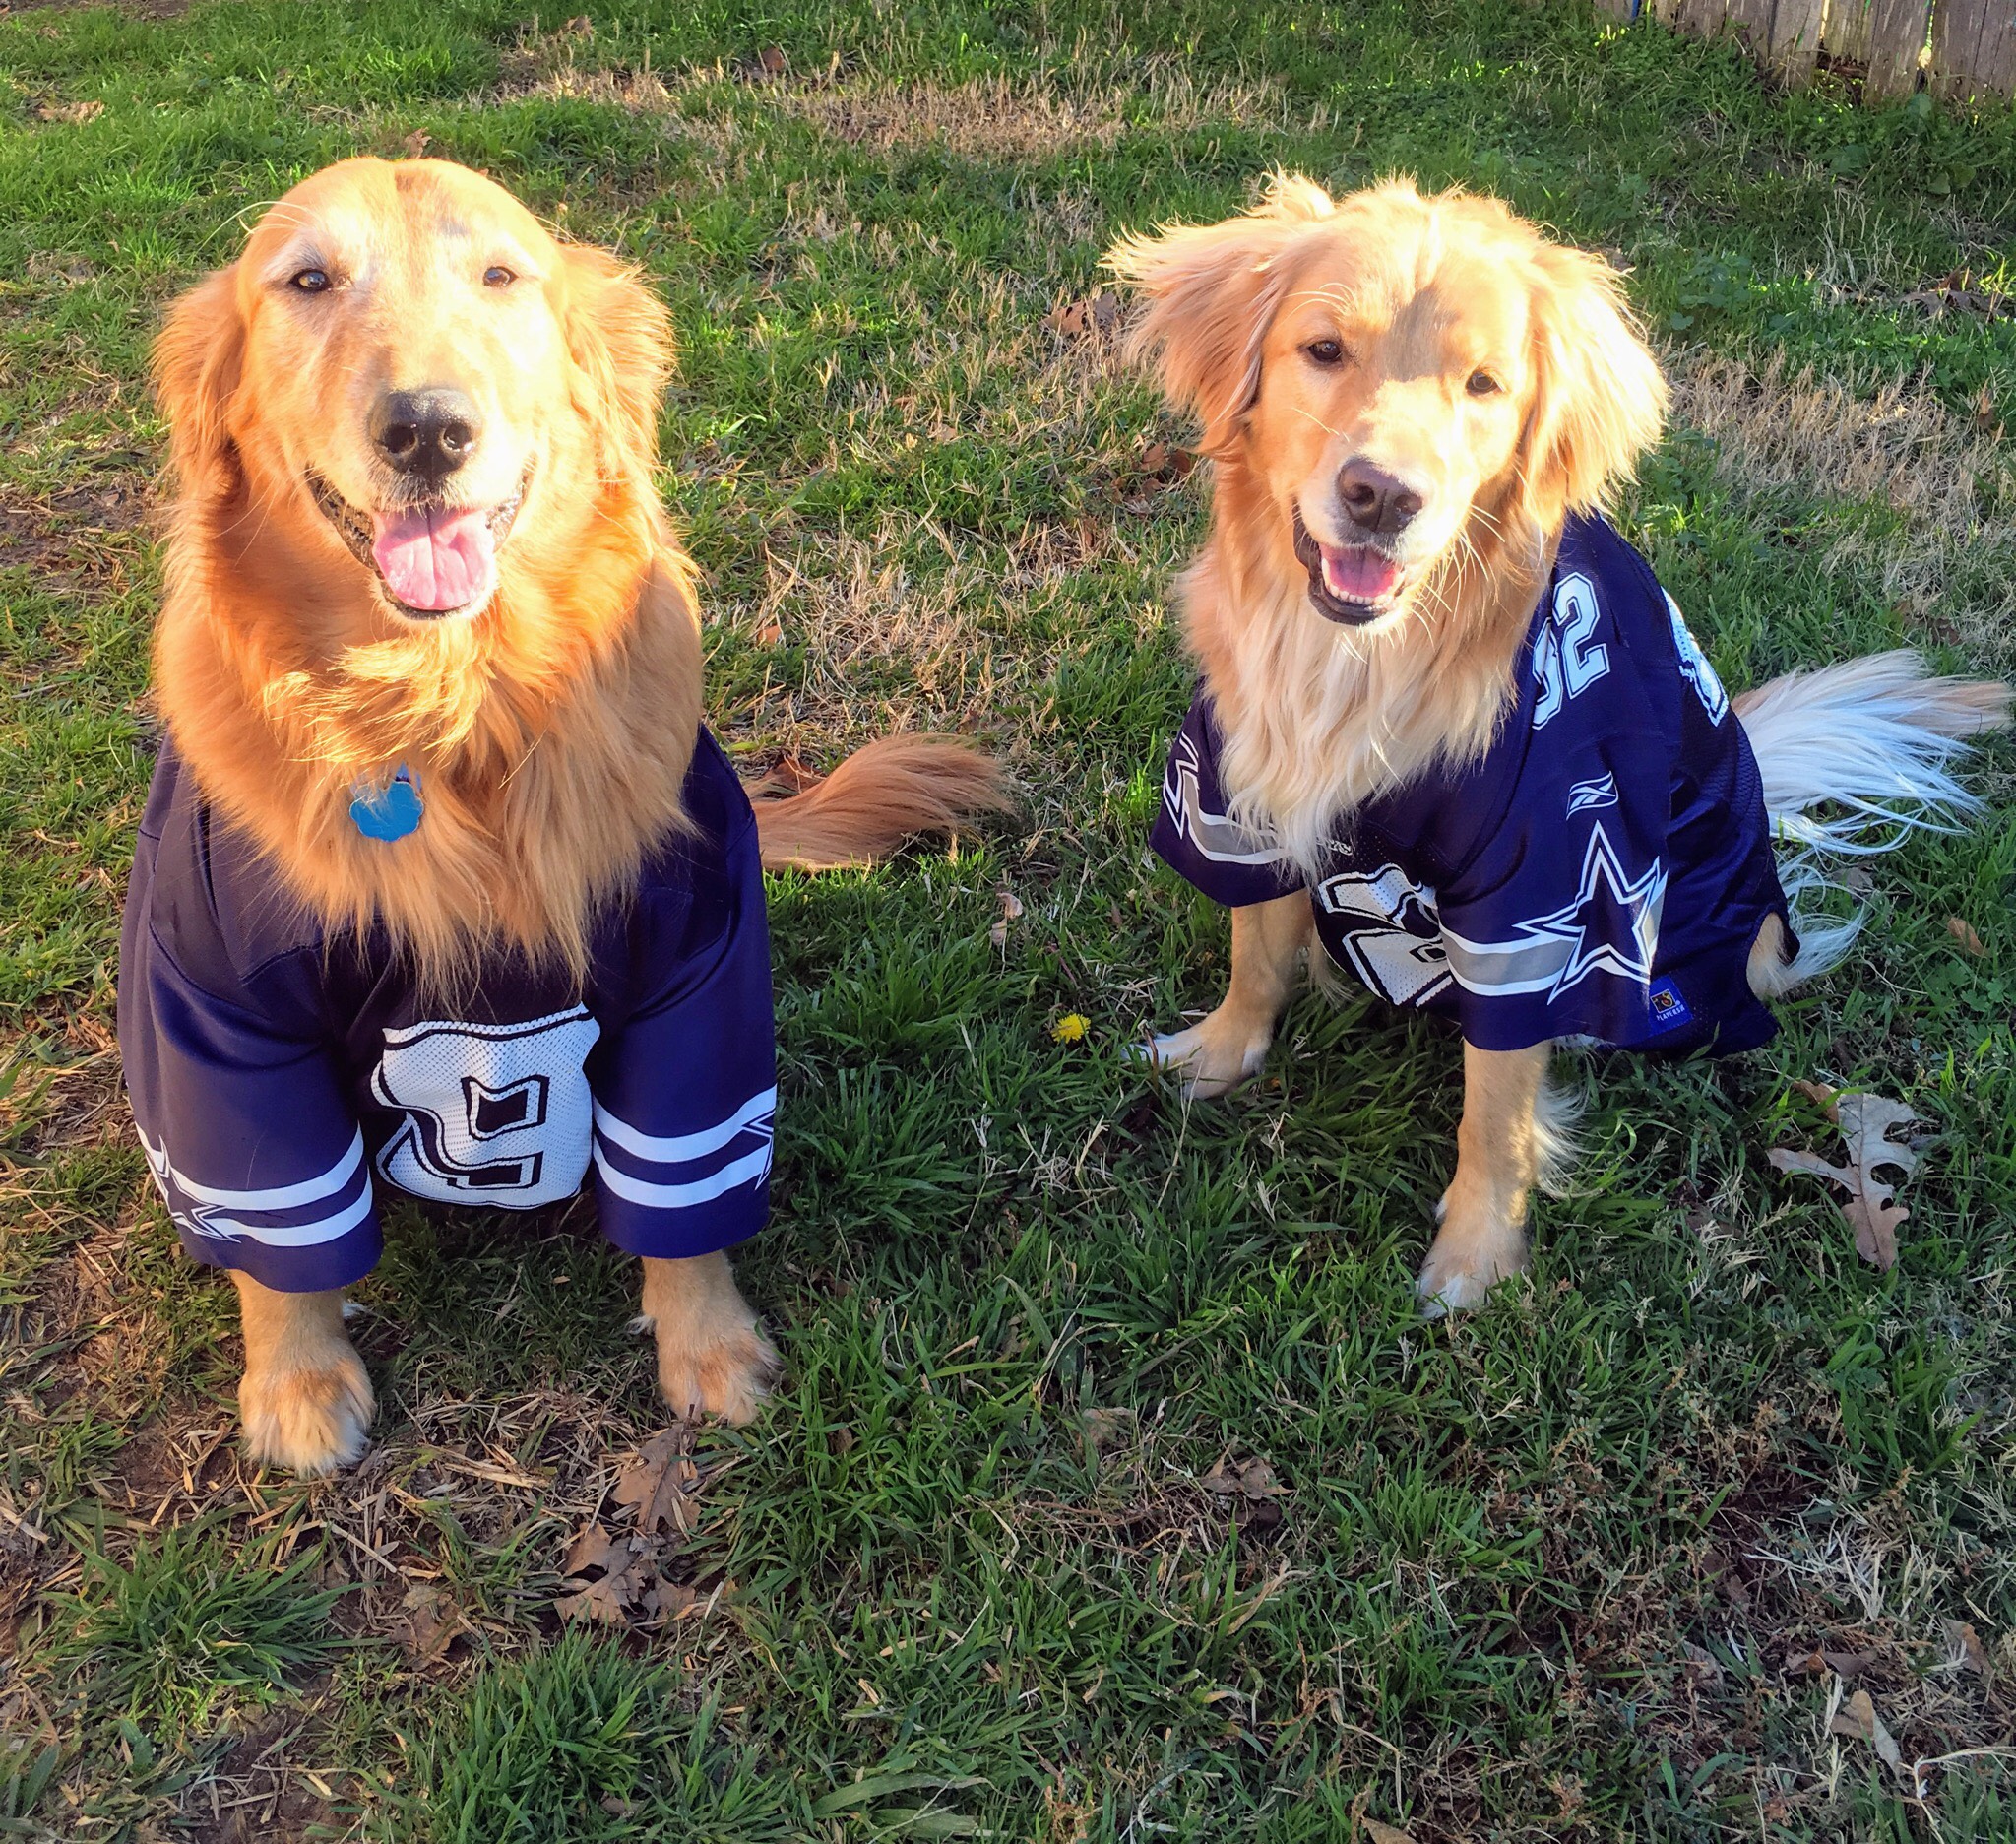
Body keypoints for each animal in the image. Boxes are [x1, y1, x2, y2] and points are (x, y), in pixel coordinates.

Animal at [121, 161, 1003, 1483]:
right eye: (307, 281)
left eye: (501, 274)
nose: (425, 429)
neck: (449, 713)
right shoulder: (217, 1017)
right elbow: (283, 1243)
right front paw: (297, 1381)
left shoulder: (701, 965)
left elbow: (686, 1202)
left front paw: (709, 1344)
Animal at [1112, 176, 2007, 1313]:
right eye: (1323, 349)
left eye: (1483, 385)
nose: (1381, 496)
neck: (1357, 664)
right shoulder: (1238, 800)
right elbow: (1255, 953)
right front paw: (1219, 1055)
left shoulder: (1543, 901)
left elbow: (1494, 1104)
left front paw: (1476, 1253)